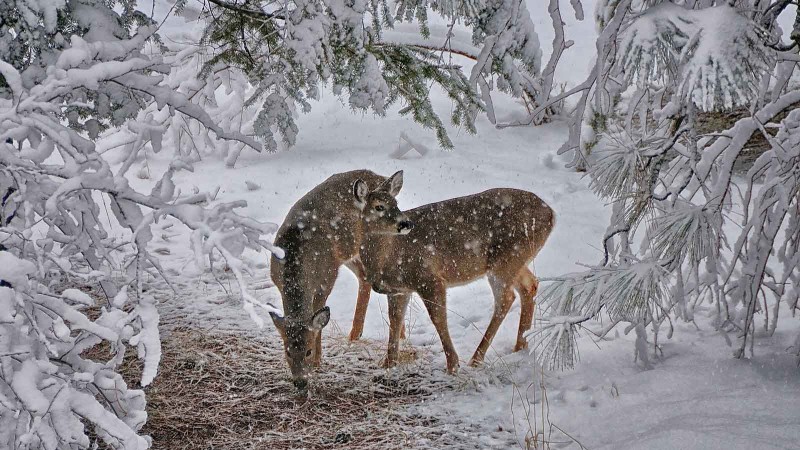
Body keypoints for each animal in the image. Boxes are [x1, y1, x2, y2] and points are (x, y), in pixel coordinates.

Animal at [270, 170, 406, 390]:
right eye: (287, 352)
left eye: (307, 351)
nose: (300, 382)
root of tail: (379, 176)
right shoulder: (277, 282)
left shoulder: (327, 278)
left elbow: (319, 320)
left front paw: (317, 362)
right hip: (350, 252)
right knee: (364, 278)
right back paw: (356, 335)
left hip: (375, 245)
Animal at [354, 174, 552, 374]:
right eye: (379, 206)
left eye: (396, 203)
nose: (406, 223)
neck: (386, 257)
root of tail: (551, 213)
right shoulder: (398, 289)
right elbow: (394, 320)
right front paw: (388, 364)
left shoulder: (429, 278)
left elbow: (438, 318)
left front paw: (452, 365)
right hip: (516, 261)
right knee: (530, 285)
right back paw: (520, 347)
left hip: (506, 260)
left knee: (506, 299)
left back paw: (476, 359)